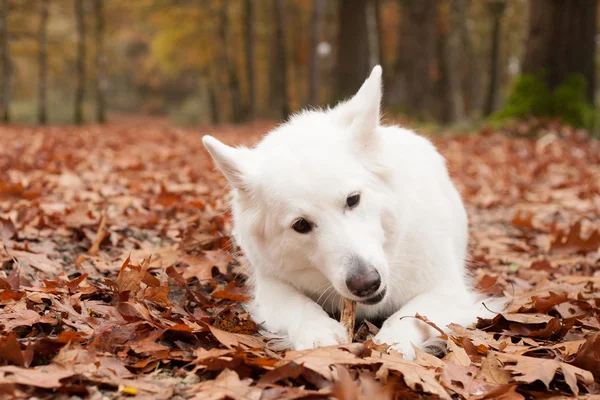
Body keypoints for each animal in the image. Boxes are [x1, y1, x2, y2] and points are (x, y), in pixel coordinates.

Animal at [204, 65, 500, 360]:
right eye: (301, 225)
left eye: (353, 200)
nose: (366, 283)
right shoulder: (270, 288)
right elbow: (298, 306)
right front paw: (318, 334)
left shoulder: (448, 290)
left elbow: (410, 316)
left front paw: (391, 344)